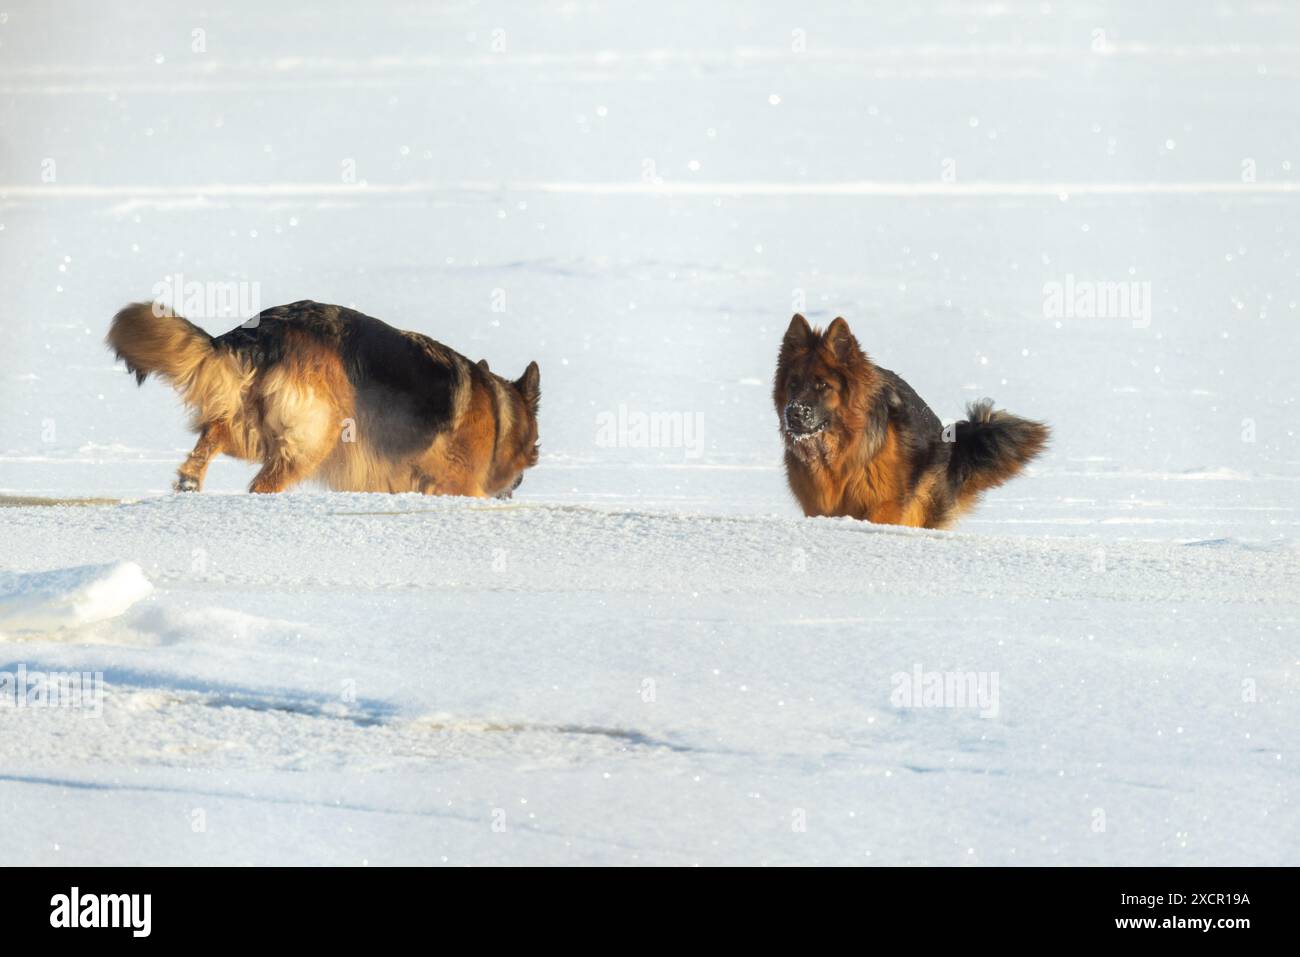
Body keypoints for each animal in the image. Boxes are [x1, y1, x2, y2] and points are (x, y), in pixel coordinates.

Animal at [105, 300, 543, 496]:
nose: (518, 485)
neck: (500, 413)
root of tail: (264, 331)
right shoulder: (458, 483)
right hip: (318, 434)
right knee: (264, 482)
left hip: (254, 428)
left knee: (214, 433)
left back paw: (189, 481)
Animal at [769, 314, 1045, 527]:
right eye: (793, 384)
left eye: (823, 386)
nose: (794, 413)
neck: (835, 455)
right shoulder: (818, 508)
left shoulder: (884, 505)